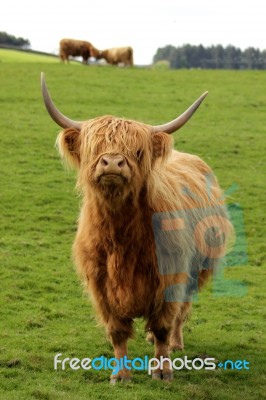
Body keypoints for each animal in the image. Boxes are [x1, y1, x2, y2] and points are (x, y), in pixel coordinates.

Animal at [40, 73, 232, 382]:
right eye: (95, 148)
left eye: (137, 151)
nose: (112, 163)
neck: (121, 234)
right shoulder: (101, 285)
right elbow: (117, 332)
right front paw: (120, 375)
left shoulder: (170, 277)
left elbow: (164, 325)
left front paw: (163, 371)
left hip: (195, 270)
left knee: (180, 313)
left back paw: (176, 343)